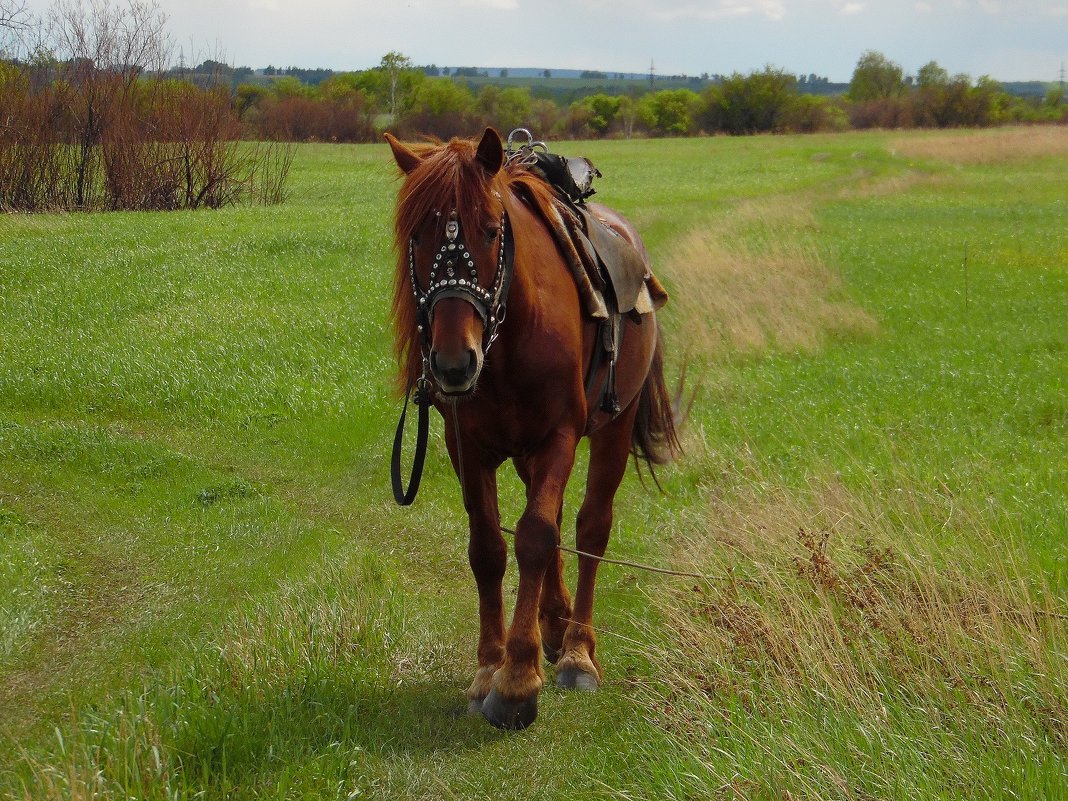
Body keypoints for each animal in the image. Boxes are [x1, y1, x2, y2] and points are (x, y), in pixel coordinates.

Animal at [388, 128, 679, 730]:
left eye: (491, 230)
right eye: (417, 233)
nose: (454, 362)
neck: (508, 338)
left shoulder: (558, 438)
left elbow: (537, 536)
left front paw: (518, 681)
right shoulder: (467, 447)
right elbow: (489, 548)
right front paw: (488, 669)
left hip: (613, 428)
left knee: (590, 528)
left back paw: (577, 650)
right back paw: (555, 622)